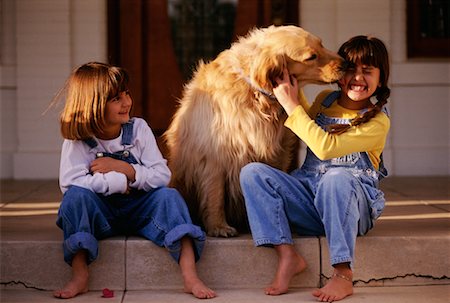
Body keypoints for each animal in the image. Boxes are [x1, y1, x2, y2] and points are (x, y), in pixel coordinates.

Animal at [165, 25, 344, 238]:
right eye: (311, 57)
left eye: (322, 44)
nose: (347, 64)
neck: (258, 96)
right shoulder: (213, 156)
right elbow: (215, 194)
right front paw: (218, 226)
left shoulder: (277, 152)